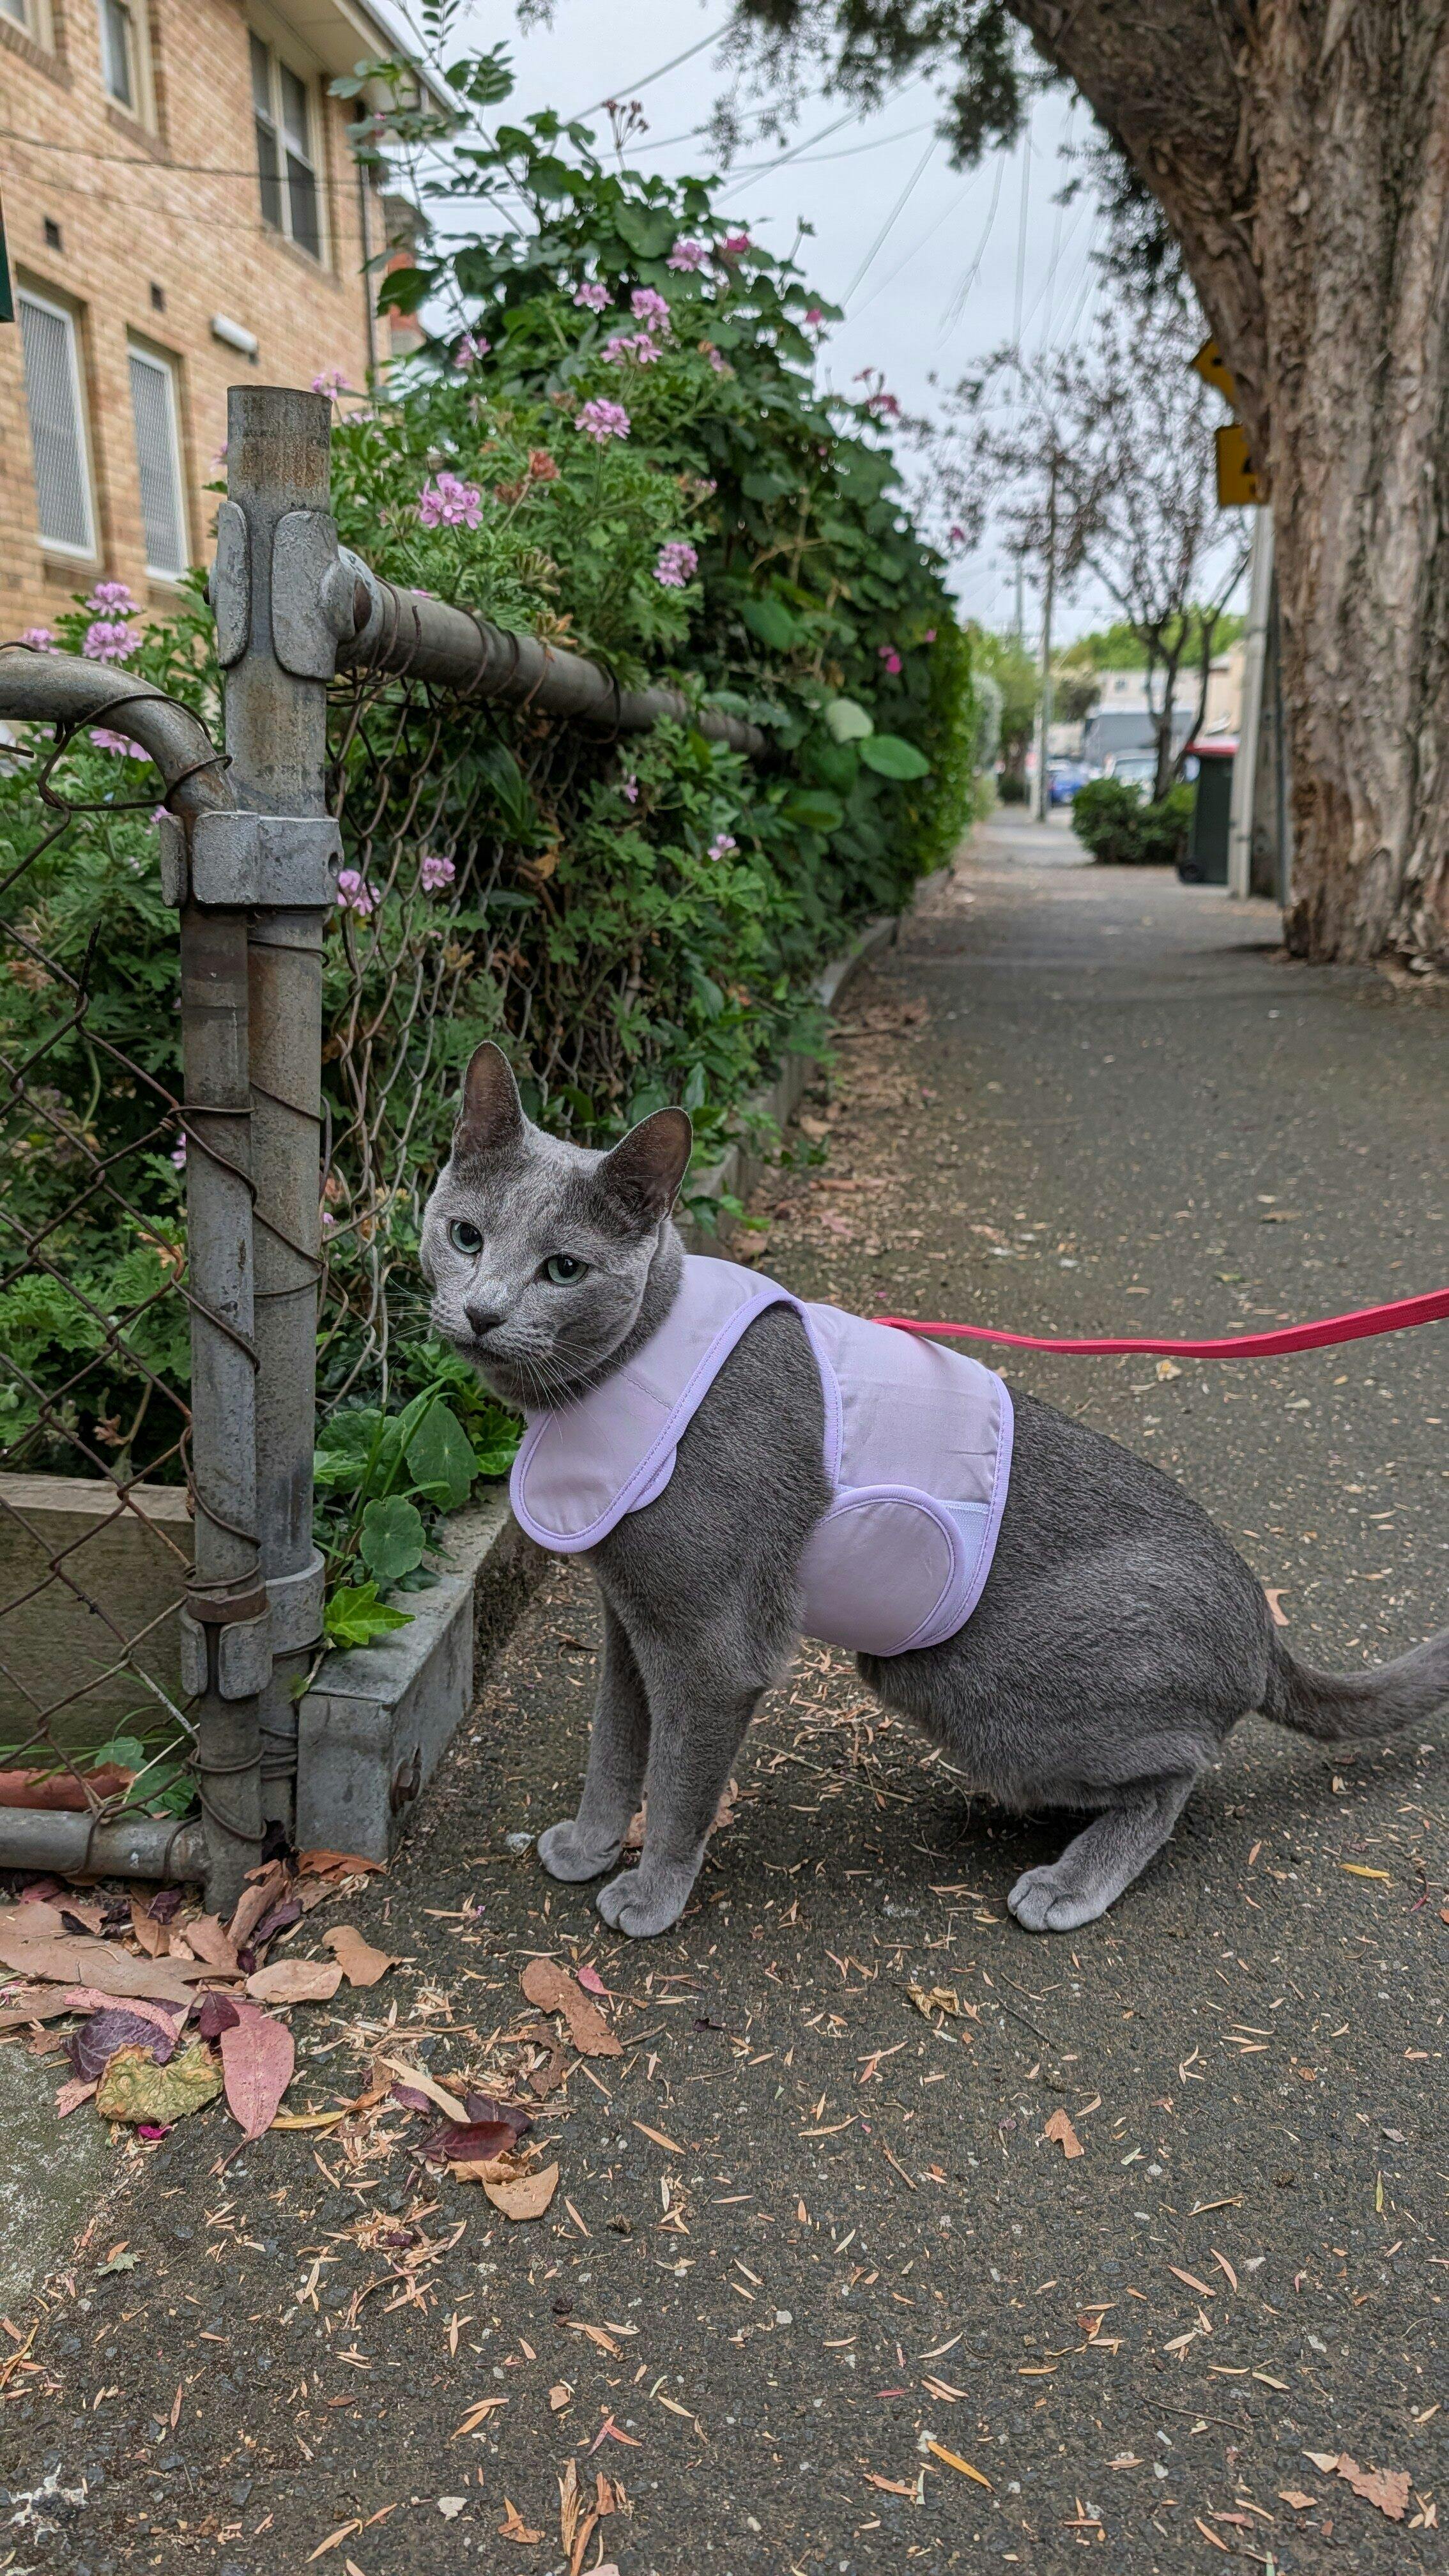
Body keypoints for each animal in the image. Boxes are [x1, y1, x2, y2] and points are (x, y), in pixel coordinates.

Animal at [420, 1042, 1449, 1939]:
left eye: (563, 1269)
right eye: (465, 1236)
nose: (482, 1312)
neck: (616, 1377)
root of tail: (1263, 1629)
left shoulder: (712, 1642)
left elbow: (678, 1784)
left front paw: (651, 1896)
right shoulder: (632, 1618)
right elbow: (613, 1744)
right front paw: (590, 1845)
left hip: (976, 1682)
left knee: (1181, 1768)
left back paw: (1069, 1881)